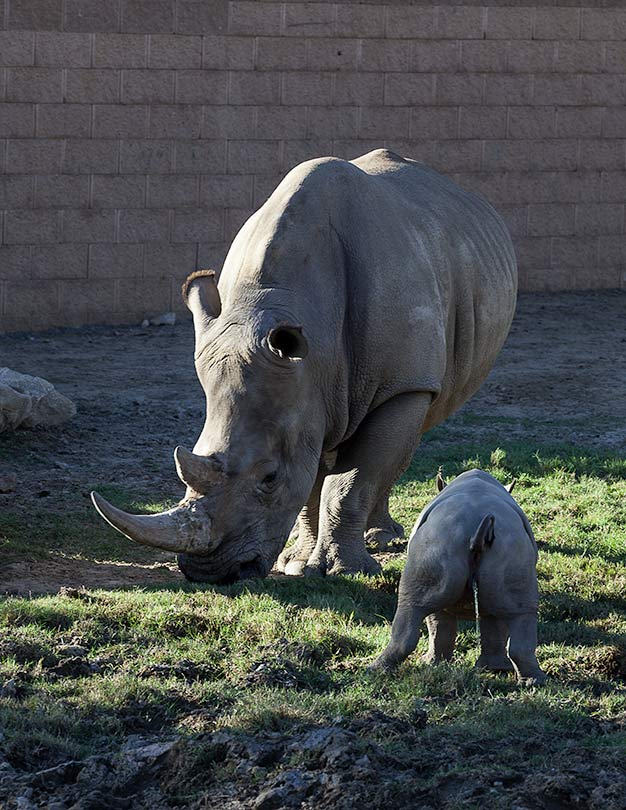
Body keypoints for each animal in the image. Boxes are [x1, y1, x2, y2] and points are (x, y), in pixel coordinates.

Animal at [372, 468, 544, 680]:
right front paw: (492, 669)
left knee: (412, 604)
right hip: (501, 549)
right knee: (520, 609)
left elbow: (439, 623)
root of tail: (477, 530)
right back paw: (533, 680)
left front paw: (437, 664)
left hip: (442, 543)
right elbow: (486, 625)